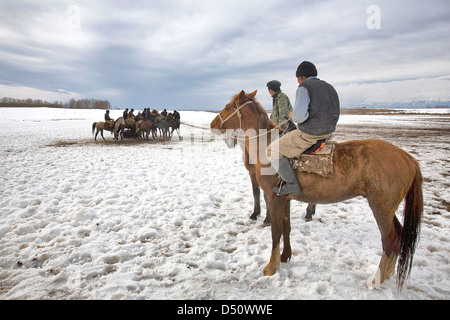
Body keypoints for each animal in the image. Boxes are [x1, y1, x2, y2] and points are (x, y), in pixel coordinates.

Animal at [210, 90, 422, 290]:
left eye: (228, 107)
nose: (213, 123)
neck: (266, 146)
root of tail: (407, 158)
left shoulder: (274, 198)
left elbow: (276, 231)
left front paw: (271, 267)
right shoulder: (285, 199)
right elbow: (286, 227)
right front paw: (285, 256)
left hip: (380, 208)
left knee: (390, 240)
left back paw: (376, 281)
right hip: (388, 209)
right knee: (399, 237)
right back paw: (387, 275)